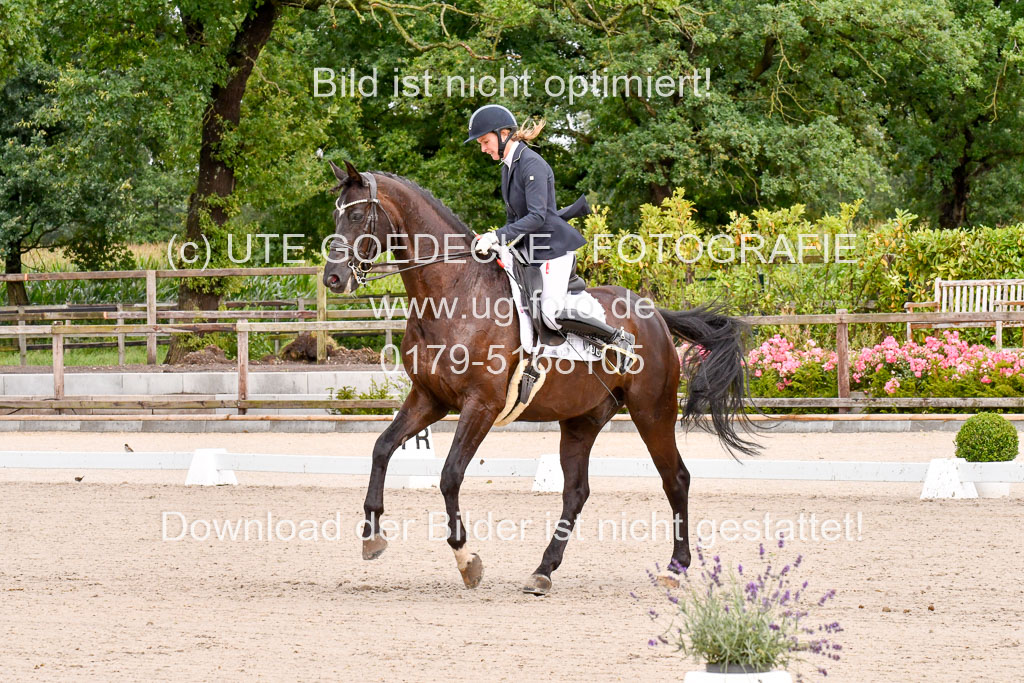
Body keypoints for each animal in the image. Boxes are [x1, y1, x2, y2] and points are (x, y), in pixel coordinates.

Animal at [322, 160, 758, 595]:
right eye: (335, 215)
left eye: (357, 216)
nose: (333, 279)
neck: (454, 293)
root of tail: (655, 316)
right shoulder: (429, 398)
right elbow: (382, 448)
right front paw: (372, 536)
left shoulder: (481, 405)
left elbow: (449, 476)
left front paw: (467, 560)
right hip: (582, 419)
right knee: (577, 492)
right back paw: (544, 569)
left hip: (652, 411)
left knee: (676, 479)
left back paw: (675, 566)